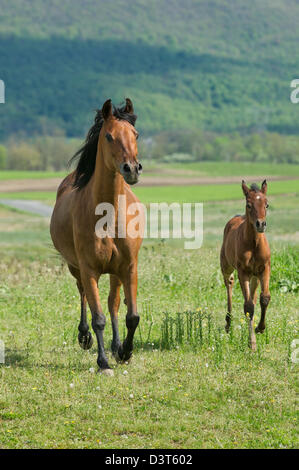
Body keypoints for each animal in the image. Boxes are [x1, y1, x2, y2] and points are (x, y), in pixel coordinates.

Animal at [50, 99, 144, 374]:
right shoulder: (89, 268)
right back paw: (84, 337)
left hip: (115, 272)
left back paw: (115, 345)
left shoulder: (129, 267)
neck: (107, 215)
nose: (132, 169)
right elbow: (98, 317)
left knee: (114, 302)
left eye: (135, 134)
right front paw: (103, 362)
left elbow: (131, 315)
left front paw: (124, 352)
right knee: (83, 293)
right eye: (109, 136)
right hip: (75, 267)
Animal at [220, 180, 272, 348]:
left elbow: (264, 298)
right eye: (249, 205)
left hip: (254, 276)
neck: (254, 244)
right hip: (226, 266)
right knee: (229, 283)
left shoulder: (265, 268)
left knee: (254, 296)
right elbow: (248, 306)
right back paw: (228, 322)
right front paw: (252, 343)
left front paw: (260, 328)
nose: (260, 224)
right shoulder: (243, 272)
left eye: (266, 204)